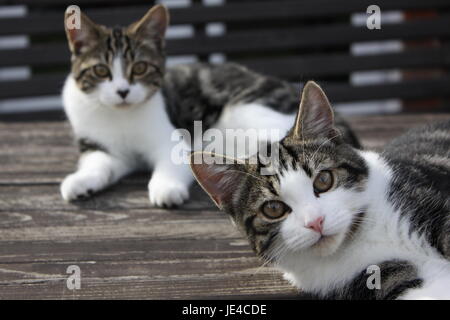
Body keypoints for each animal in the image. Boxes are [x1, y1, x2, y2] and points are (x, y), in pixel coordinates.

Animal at [60, 5, 358, 208]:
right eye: (101, 71)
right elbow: (100, 165)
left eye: (140, 68)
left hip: (247, 111)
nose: (122, 92)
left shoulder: (173, 139)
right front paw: (80, 182)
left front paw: (166, 188)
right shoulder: (102, 149)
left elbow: (171, 160)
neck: (120, 116)